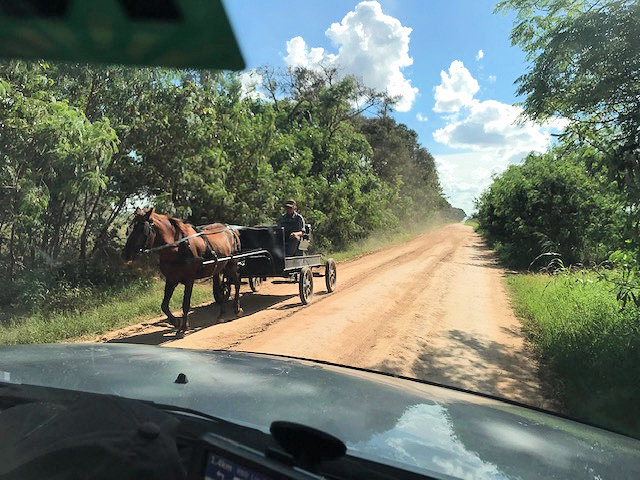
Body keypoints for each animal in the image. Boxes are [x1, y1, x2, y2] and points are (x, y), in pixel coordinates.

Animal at [121, 208, 241, 336]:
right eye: (129, 229)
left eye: (141, 229)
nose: (125, 254)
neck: (177, 247)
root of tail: (230, 229)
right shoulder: (171, 279)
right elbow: (164, 305)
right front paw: (176, 322)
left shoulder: (189, 279)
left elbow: (185, 304)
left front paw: (183, 328)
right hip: (218, 268)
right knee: (219, 289)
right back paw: (222, 313)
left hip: (231, 264)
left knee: (237, 283)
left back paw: (237, 309)